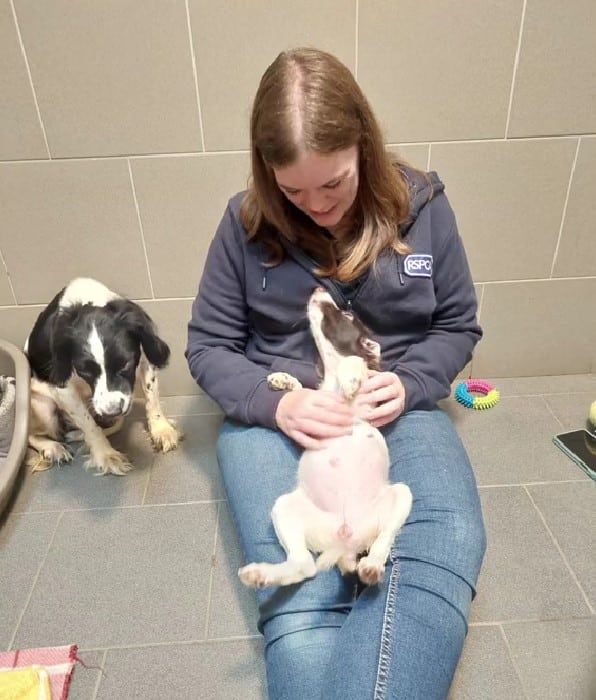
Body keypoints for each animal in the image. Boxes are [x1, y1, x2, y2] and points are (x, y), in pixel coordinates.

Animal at [23, 278, 182, 476]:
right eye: (84, 371)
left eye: (126, 364)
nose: (112, 411)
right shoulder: (63, 388)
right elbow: (89, 425)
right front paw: (105, 455)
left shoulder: (145, 353)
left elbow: (152, 397)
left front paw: (161, 429)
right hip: (43, 409)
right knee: (31, 435)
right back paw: (53, 448)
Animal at [240, 288, 412, 588]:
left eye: (347, 316)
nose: (318, 289)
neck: (332, 383)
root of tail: (346, 542)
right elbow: (303, 390)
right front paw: (283, 379)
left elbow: (358, 364)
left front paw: (352, 375)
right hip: (285, 507)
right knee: (303, 566)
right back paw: (260, 574)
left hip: (402, 495)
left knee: (382, 541)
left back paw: (371, 566)